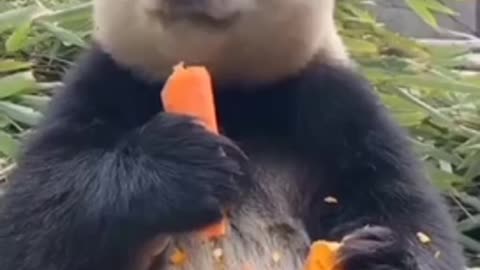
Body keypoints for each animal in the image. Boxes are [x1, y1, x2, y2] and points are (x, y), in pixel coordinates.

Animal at [0, 0, 466, 270]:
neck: (226, 92)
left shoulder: (337, 109)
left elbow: (416, 221)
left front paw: (377, 254)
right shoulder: (102, 86)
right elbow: (35, 223)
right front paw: (187, 165)